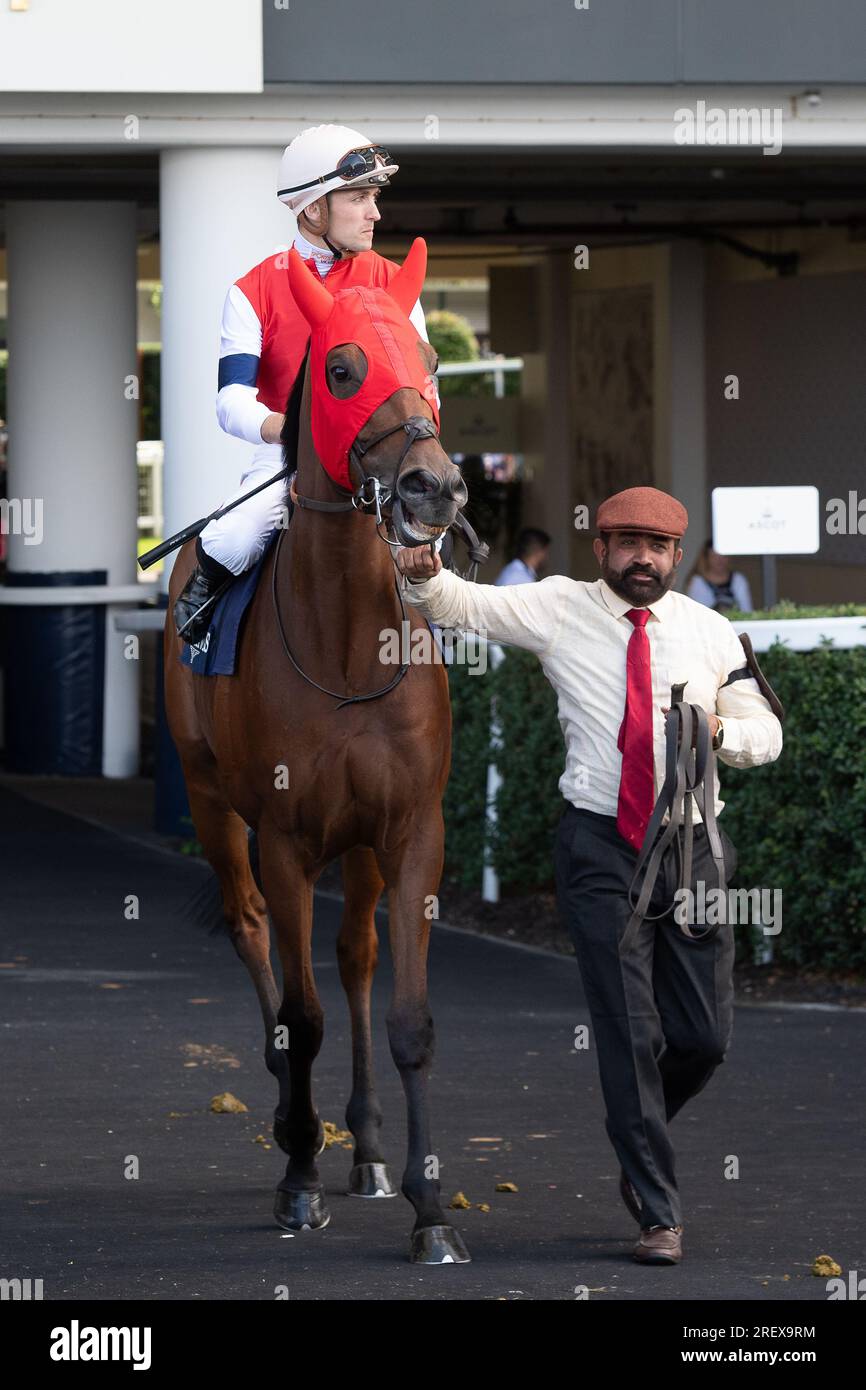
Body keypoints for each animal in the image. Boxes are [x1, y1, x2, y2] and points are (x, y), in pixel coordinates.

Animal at [165, 241, 469, 1273]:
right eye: (340, 370)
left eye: (430, 362)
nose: (434, 487)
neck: (343, 647)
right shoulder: (288, 839)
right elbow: (303, 1018)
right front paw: (299, 1176)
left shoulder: (412, 831)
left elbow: (408, 1016)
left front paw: (430, 1208)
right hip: (212, 803)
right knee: (255, 932)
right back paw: (290, 1121)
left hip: (364, 849)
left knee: (355, 958)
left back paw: (366, 1146)